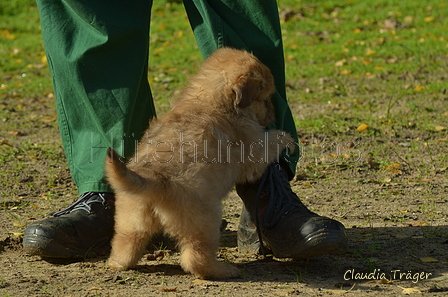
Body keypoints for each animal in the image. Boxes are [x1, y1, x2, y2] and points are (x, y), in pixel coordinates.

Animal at [104, 47, 294, 278]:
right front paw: (286, 138)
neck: (210, 99)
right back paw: (223, 270)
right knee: (196, 258)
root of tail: (155, 181)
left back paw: (117, 264)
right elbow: (270, 141)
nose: (273, 114)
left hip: (130, 219)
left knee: (125, 244)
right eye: (265, 99)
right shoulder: (253, 151)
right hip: (206, 220)